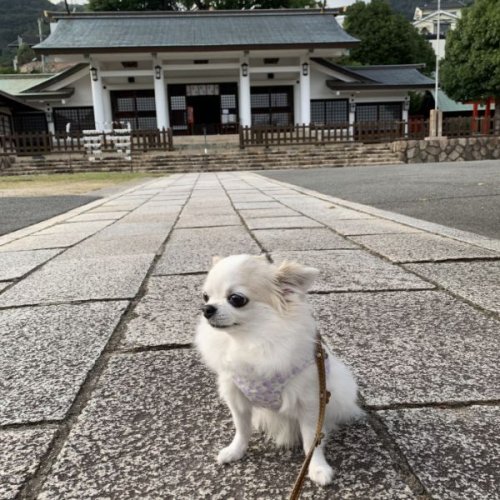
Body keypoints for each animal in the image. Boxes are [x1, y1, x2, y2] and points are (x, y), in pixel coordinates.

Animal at [193, 254, 362, 484]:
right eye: (205, 297)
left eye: (236, 299)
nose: (206, 309)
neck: (250, 341)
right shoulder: (236, 397)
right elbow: (241, 429)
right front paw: (235, 451)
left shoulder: (309, 404)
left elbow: (312, 440)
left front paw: (317, 468)